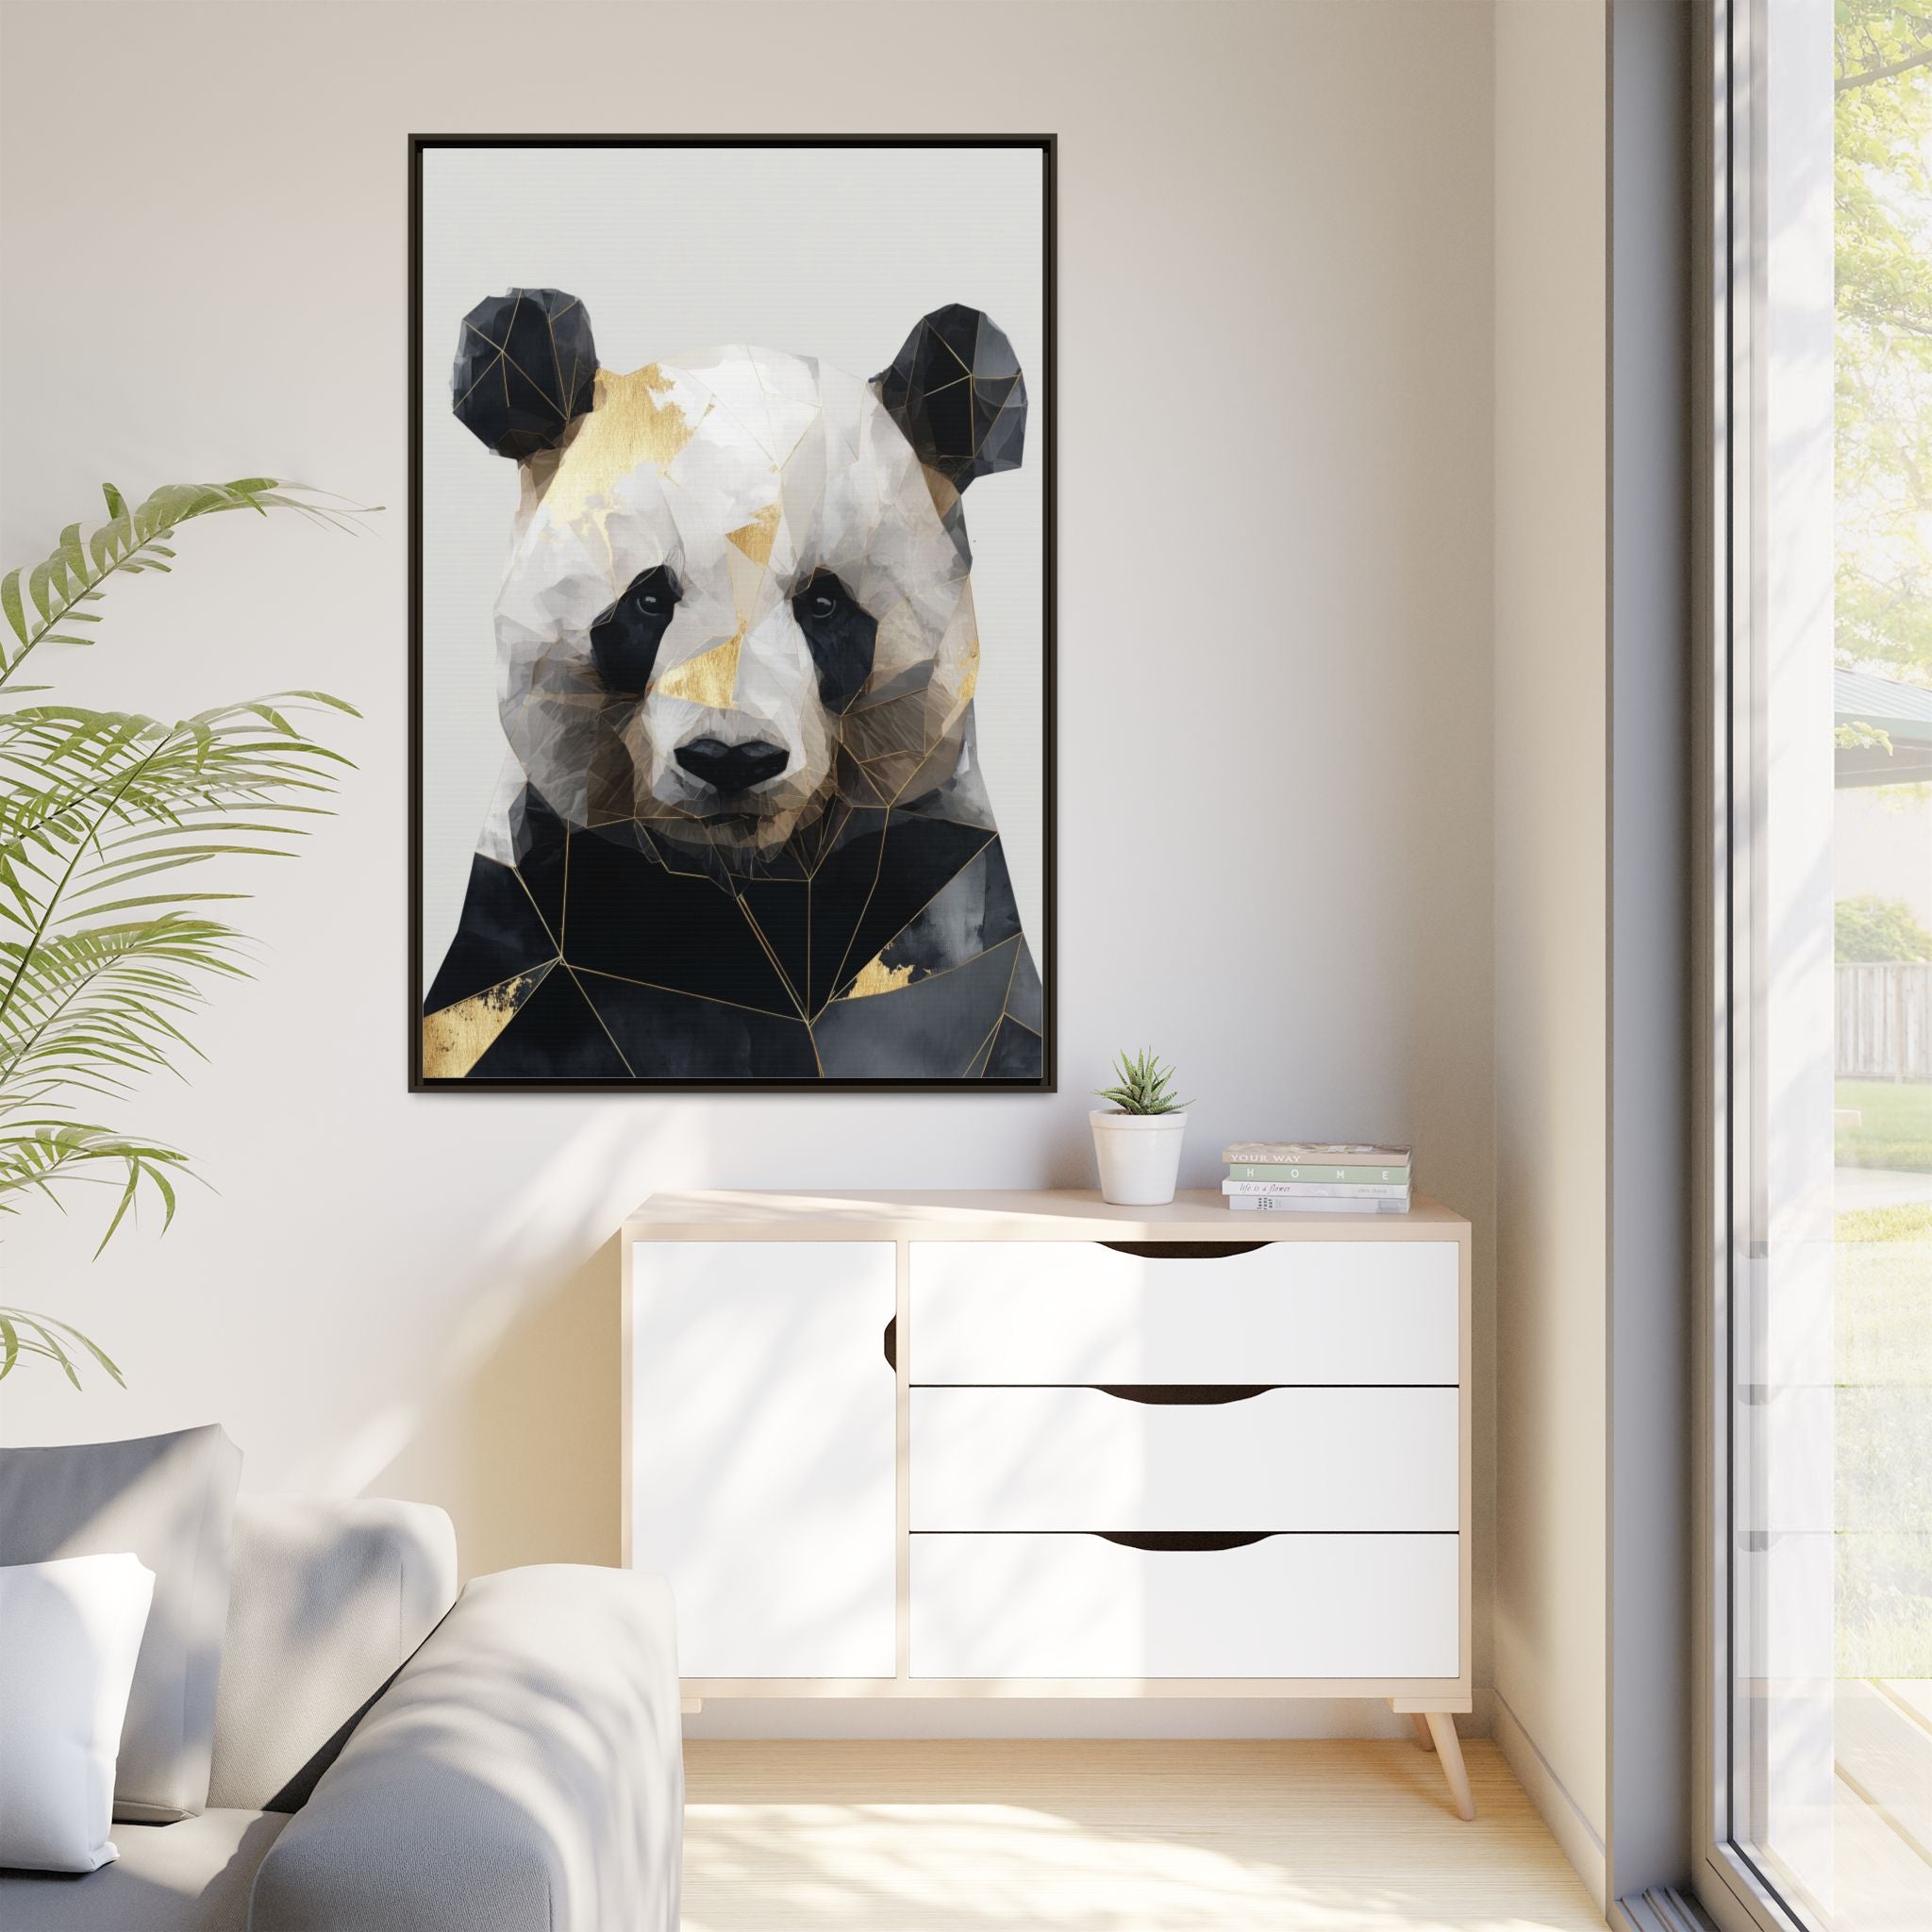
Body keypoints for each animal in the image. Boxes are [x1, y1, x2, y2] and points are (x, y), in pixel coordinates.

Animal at [422, 288, 1044, 1084]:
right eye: (648, 600)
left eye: (824, 603)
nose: (731, 760)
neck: (744, 887)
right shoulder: (534, 919)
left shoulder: (934, 900)